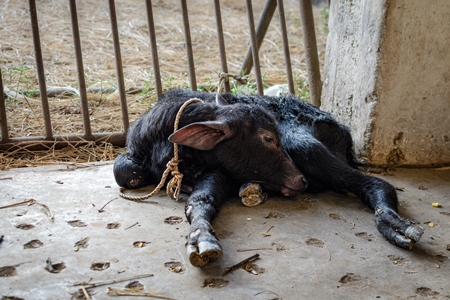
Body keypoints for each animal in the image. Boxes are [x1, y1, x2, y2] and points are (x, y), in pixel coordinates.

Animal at [114, 89, 424, 268]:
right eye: (267, 139)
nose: (300, 181)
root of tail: (342, 133)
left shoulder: (219, 172)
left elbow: (203, 199)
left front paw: (202, 239)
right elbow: (124, 171)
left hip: (305, 146)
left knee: (376, 184)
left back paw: (397, 226)